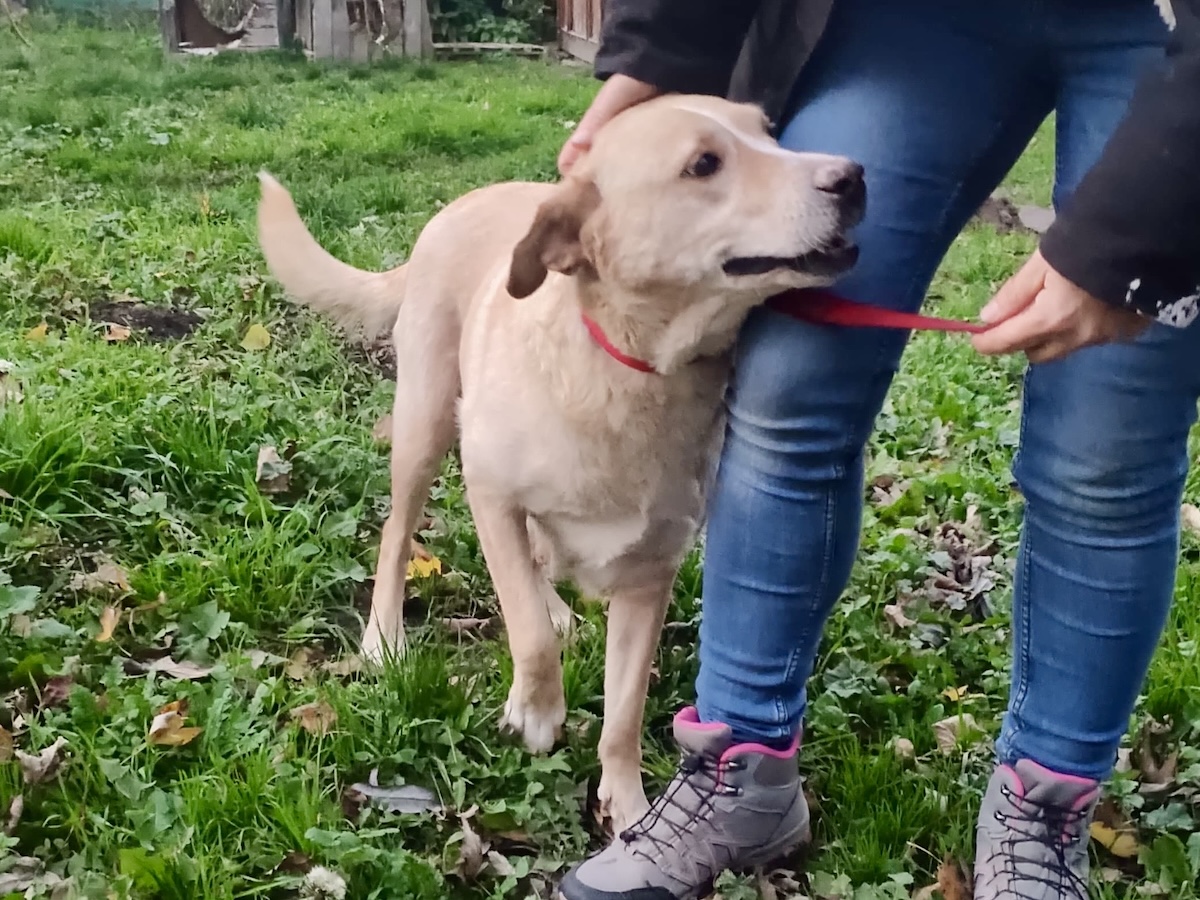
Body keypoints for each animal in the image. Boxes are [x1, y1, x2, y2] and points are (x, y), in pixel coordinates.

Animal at [256, 93, 864, 834]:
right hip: (424, 422)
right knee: (401, 533)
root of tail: (462, 203)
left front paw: (627, 805)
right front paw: (537, 711)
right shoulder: (492, 490)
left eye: (770, 134)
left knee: (537, 555)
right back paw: (384, 638)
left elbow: (624, 710)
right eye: (703, 164)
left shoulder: (651, 573)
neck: (629, 367)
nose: (853, 176)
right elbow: (524, 627)